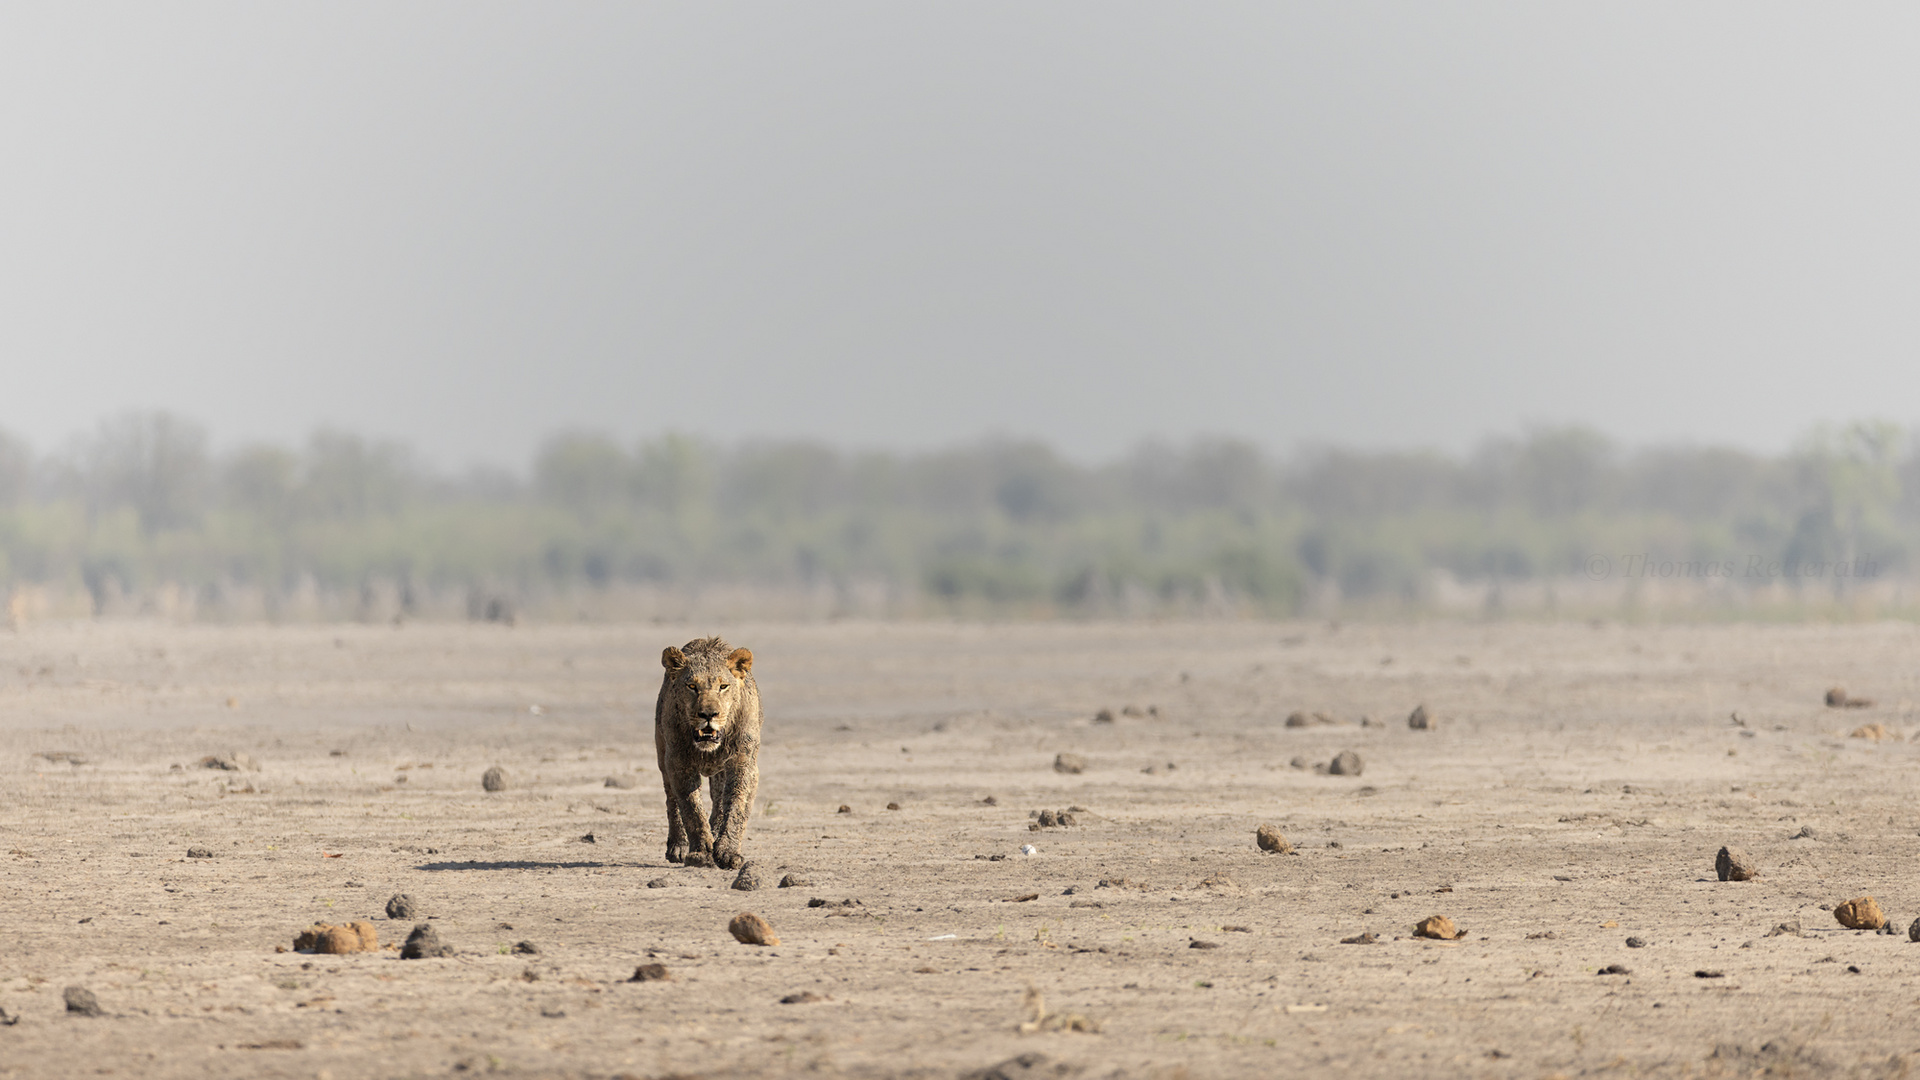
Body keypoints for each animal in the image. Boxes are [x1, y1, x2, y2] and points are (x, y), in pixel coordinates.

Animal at [652, 630, 756, 864]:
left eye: (723, 686)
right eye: (692, 686)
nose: (708, 714)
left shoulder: (743, 761)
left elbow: (737, 806)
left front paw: (727, 852)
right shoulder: (678, 762)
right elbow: (691, 808)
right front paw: (700, 851)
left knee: (719, 798)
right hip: (662, 755)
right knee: (672, 800)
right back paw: (678, 846)